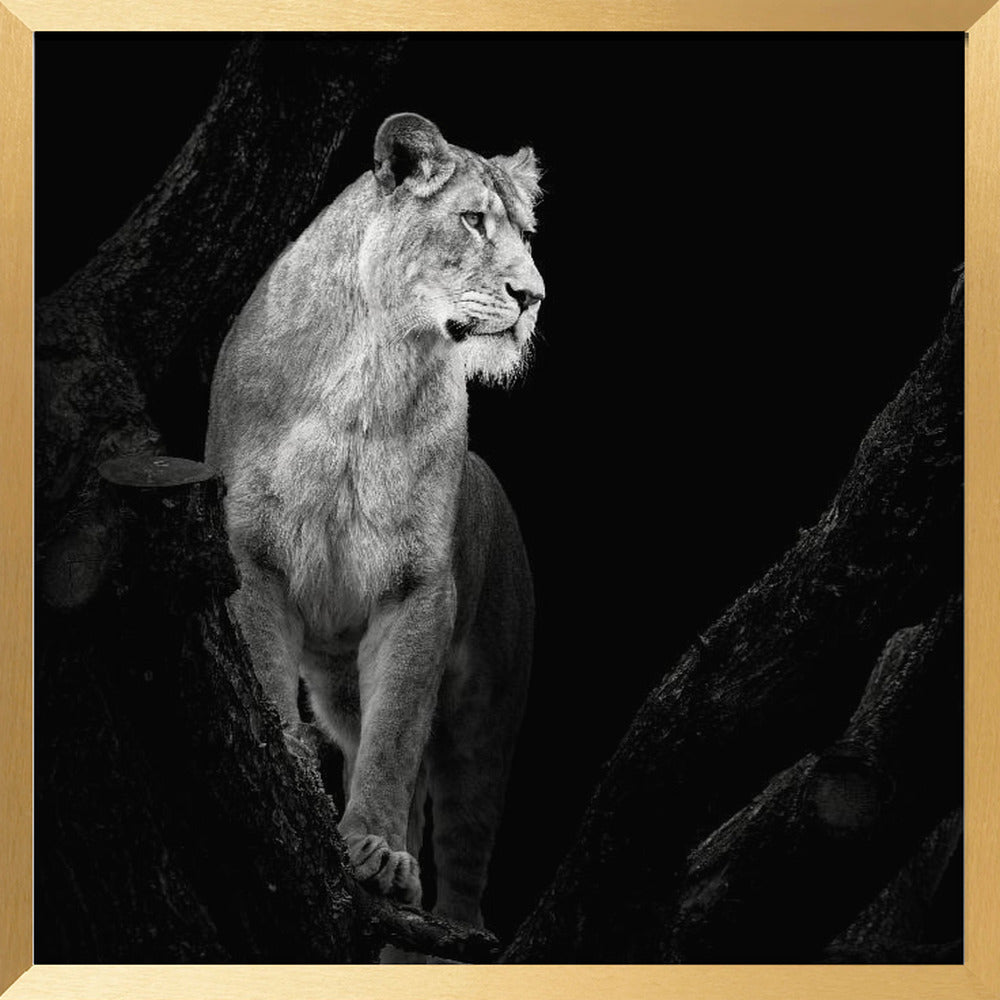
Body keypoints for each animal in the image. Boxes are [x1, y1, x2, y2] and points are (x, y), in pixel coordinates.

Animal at [204, 113, 543, 934]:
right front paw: (295, 778)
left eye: (525, 232)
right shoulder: (252, 555)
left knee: (463, 836)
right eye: (472, 220)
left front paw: (379, 852)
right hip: (339, 686)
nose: (533, 296)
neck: (374, 368)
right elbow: (268, 682)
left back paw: (451, 928)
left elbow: (396, 737)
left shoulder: (418, 589)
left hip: (491, 709)